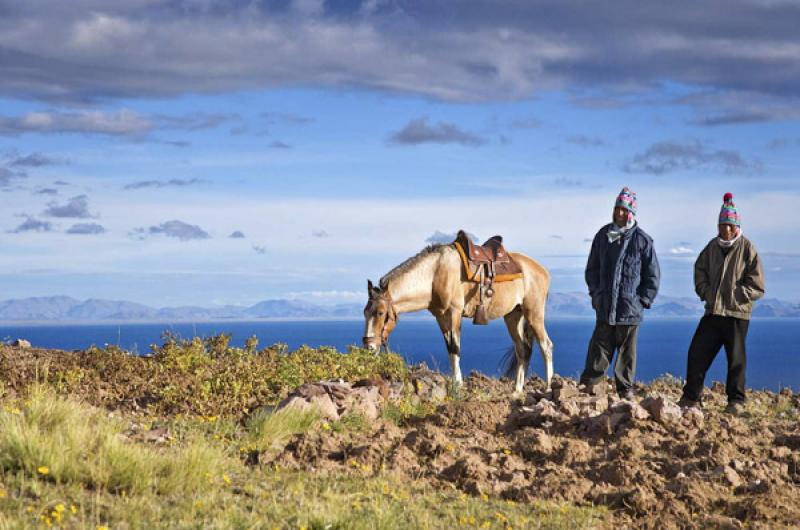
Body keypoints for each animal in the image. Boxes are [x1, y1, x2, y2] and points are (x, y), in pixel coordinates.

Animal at [364, 229, 556, 394]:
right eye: (365, 313)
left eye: (380, 313)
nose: (369, 347)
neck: (435, 274)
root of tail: (543, 270)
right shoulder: (441, 316)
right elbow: (449, 349)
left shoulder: (454, 313)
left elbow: (456, 348)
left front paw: (457, 385)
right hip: (513, 316)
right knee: (522, 349)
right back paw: (517, 390)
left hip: (534, 313)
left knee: (546, 346)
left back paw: (548, 387)